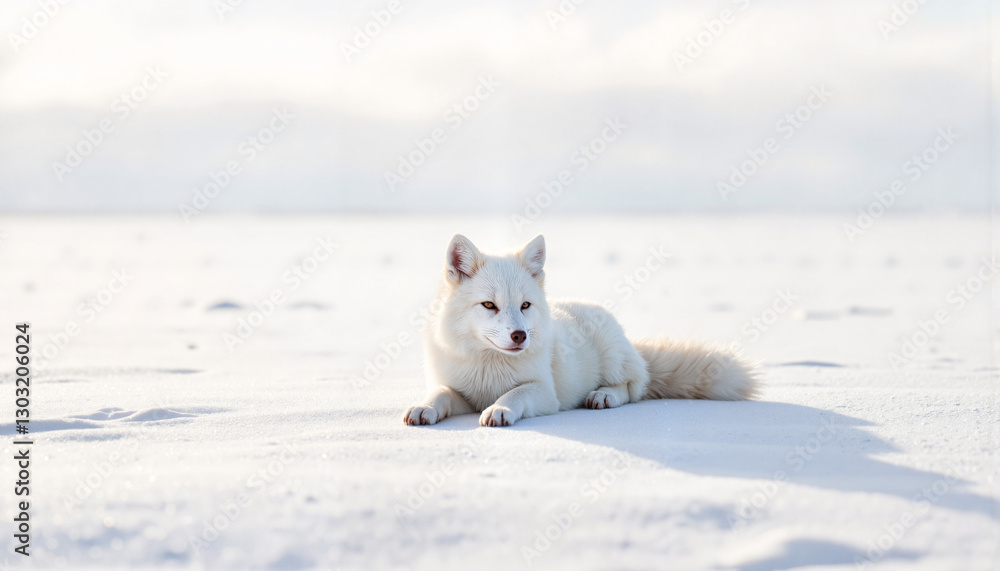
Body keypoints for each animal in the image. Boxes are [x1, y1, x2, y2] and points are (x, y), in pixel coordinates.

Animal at [403, 234, 758, 427]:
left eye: (525, 305)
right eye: (489, 305)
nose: (520, 336)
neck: (488, 366)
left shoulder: (545, 393)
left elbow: (516, 393)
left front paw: (500, 409)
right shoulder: (459, 390)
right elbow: (440, 394)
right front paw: (424, 408)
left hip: (614, 360)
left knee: (632, 388)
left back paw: (603, 395)